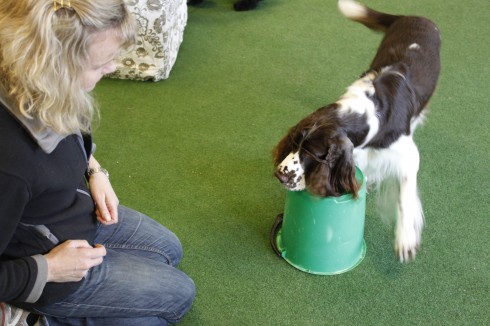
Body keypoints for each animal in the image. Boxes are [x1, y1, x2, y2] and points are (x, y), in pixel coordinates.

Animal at [274, 0, 442, 262]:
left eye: (311, 154)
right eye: (294, 143)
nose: (280, 175)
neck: (365, 111)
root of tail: (412, 16)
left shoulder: (407, 154)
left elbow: (405, 194)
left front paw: (405, 239)